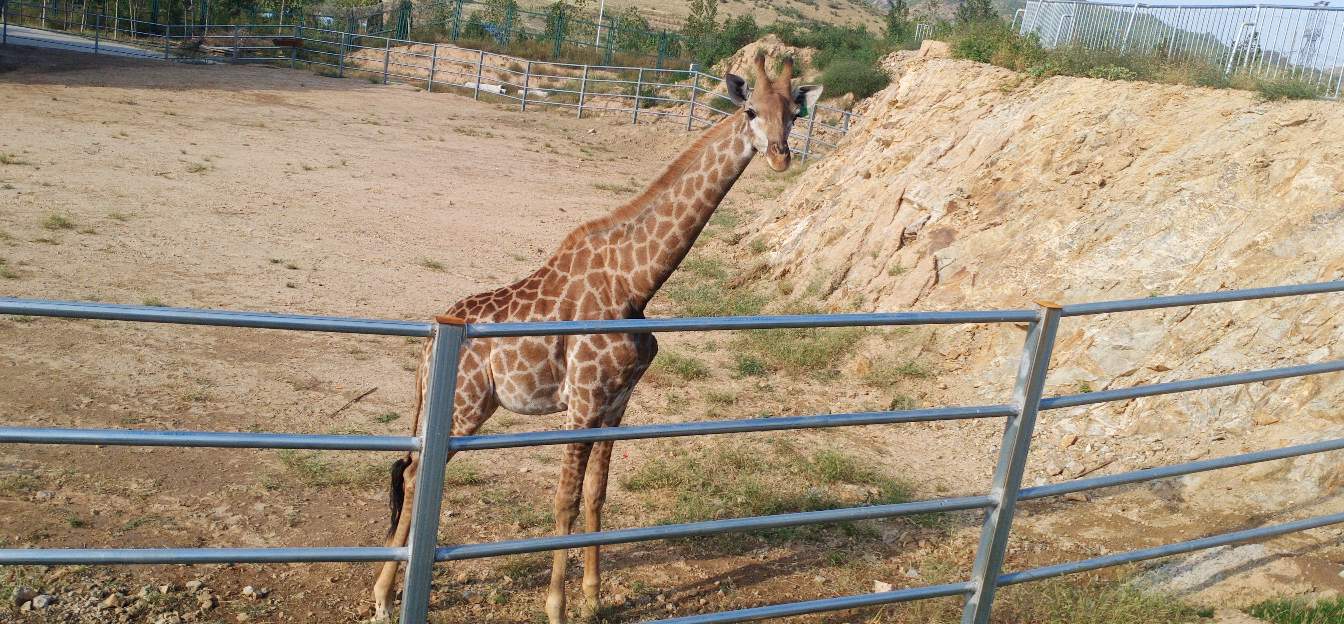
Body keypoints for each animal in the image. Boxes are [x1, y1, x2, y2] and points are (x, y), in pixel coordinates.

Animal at [373, 52, 822, 618]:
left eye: (795, 115)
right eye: (749, 111)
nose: (781, 158)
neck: (636, 282)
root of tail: (432, 341)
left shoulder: (616, 402)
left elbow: (595, 494)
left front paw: (591, 596)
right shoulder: (584, 400)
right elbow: (564, 499)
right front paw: (556, 607)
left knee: (409, 468)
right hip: (465, 403)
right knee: (413, 473)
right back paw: (382, 596)